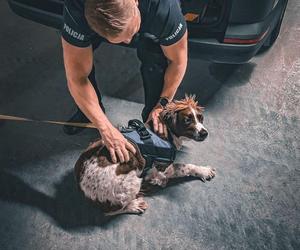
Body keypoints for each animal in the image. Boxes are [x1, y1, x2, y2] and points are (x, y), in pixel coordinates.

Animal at [74, 94, 216, 216]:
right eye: (187, 120)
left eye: (200, 117)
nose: (205, 133)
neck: (166, 132)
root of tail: (82, 187)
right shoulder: (161, 168)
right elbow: (186, 166)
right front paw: (204, 170)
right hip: (132, 182)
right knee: (110, 211)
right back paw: (134, 205)